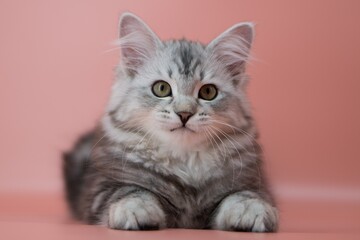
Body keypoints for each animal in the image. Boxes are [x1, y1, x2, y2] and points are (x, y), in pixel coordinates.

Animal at [62, 12, 278, 232]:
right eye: (161, 88)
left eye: (208, 92)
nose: (184, 114)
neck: (186, 162)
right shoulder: (101, 188)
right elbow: (131, 191)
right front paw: (137, 211)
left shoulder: (251, 182)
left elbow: (243, 195)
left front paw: (249, 211)